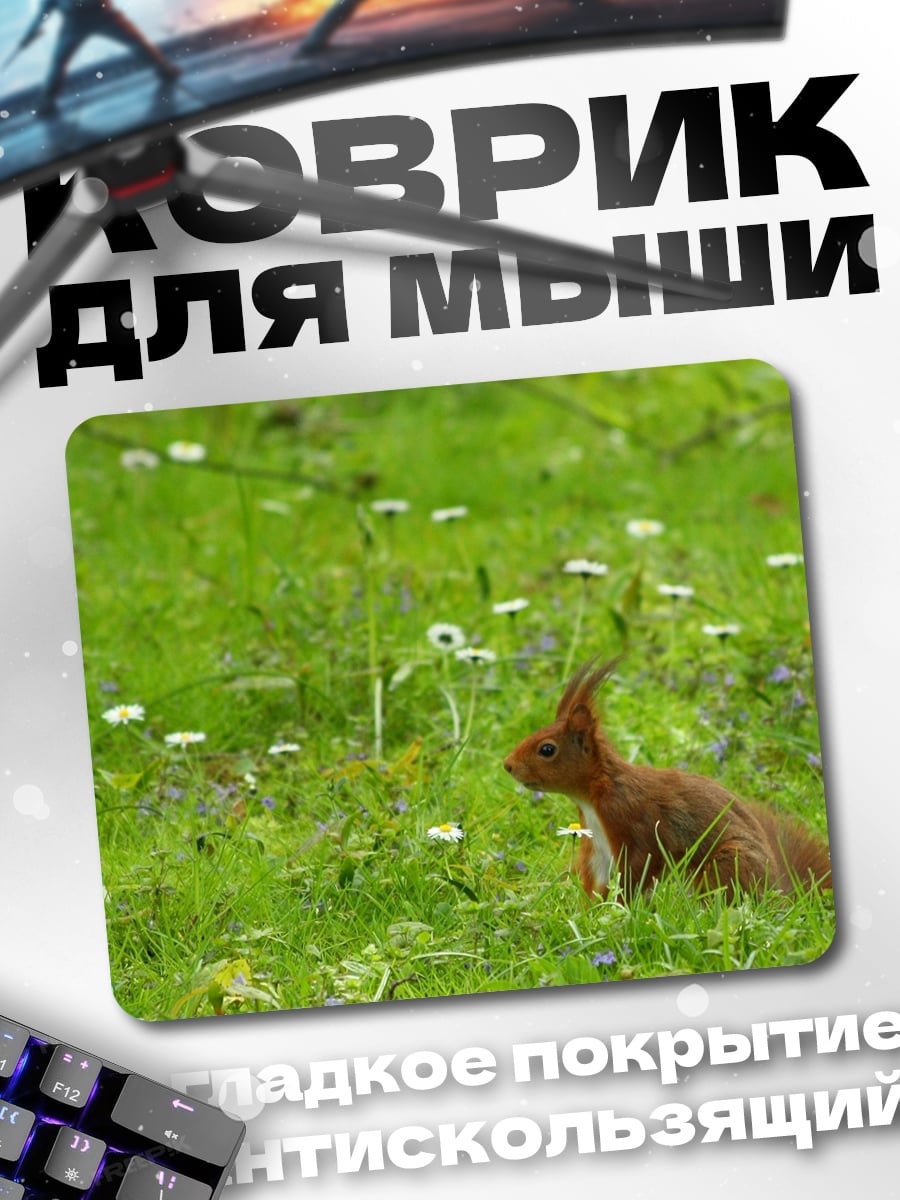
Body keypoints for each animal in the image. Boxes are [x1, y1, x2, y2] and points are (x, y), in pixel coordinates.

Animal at [503, 657, 832, 900]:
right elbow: (597, 877)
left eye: (547, 749)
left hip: (728, 863)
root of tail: (781, 893)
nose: (507, 766)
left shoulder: (635, 821)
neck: (596, 793)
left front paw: (621, 909)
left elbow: (639, 868)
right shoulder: (596, 843)